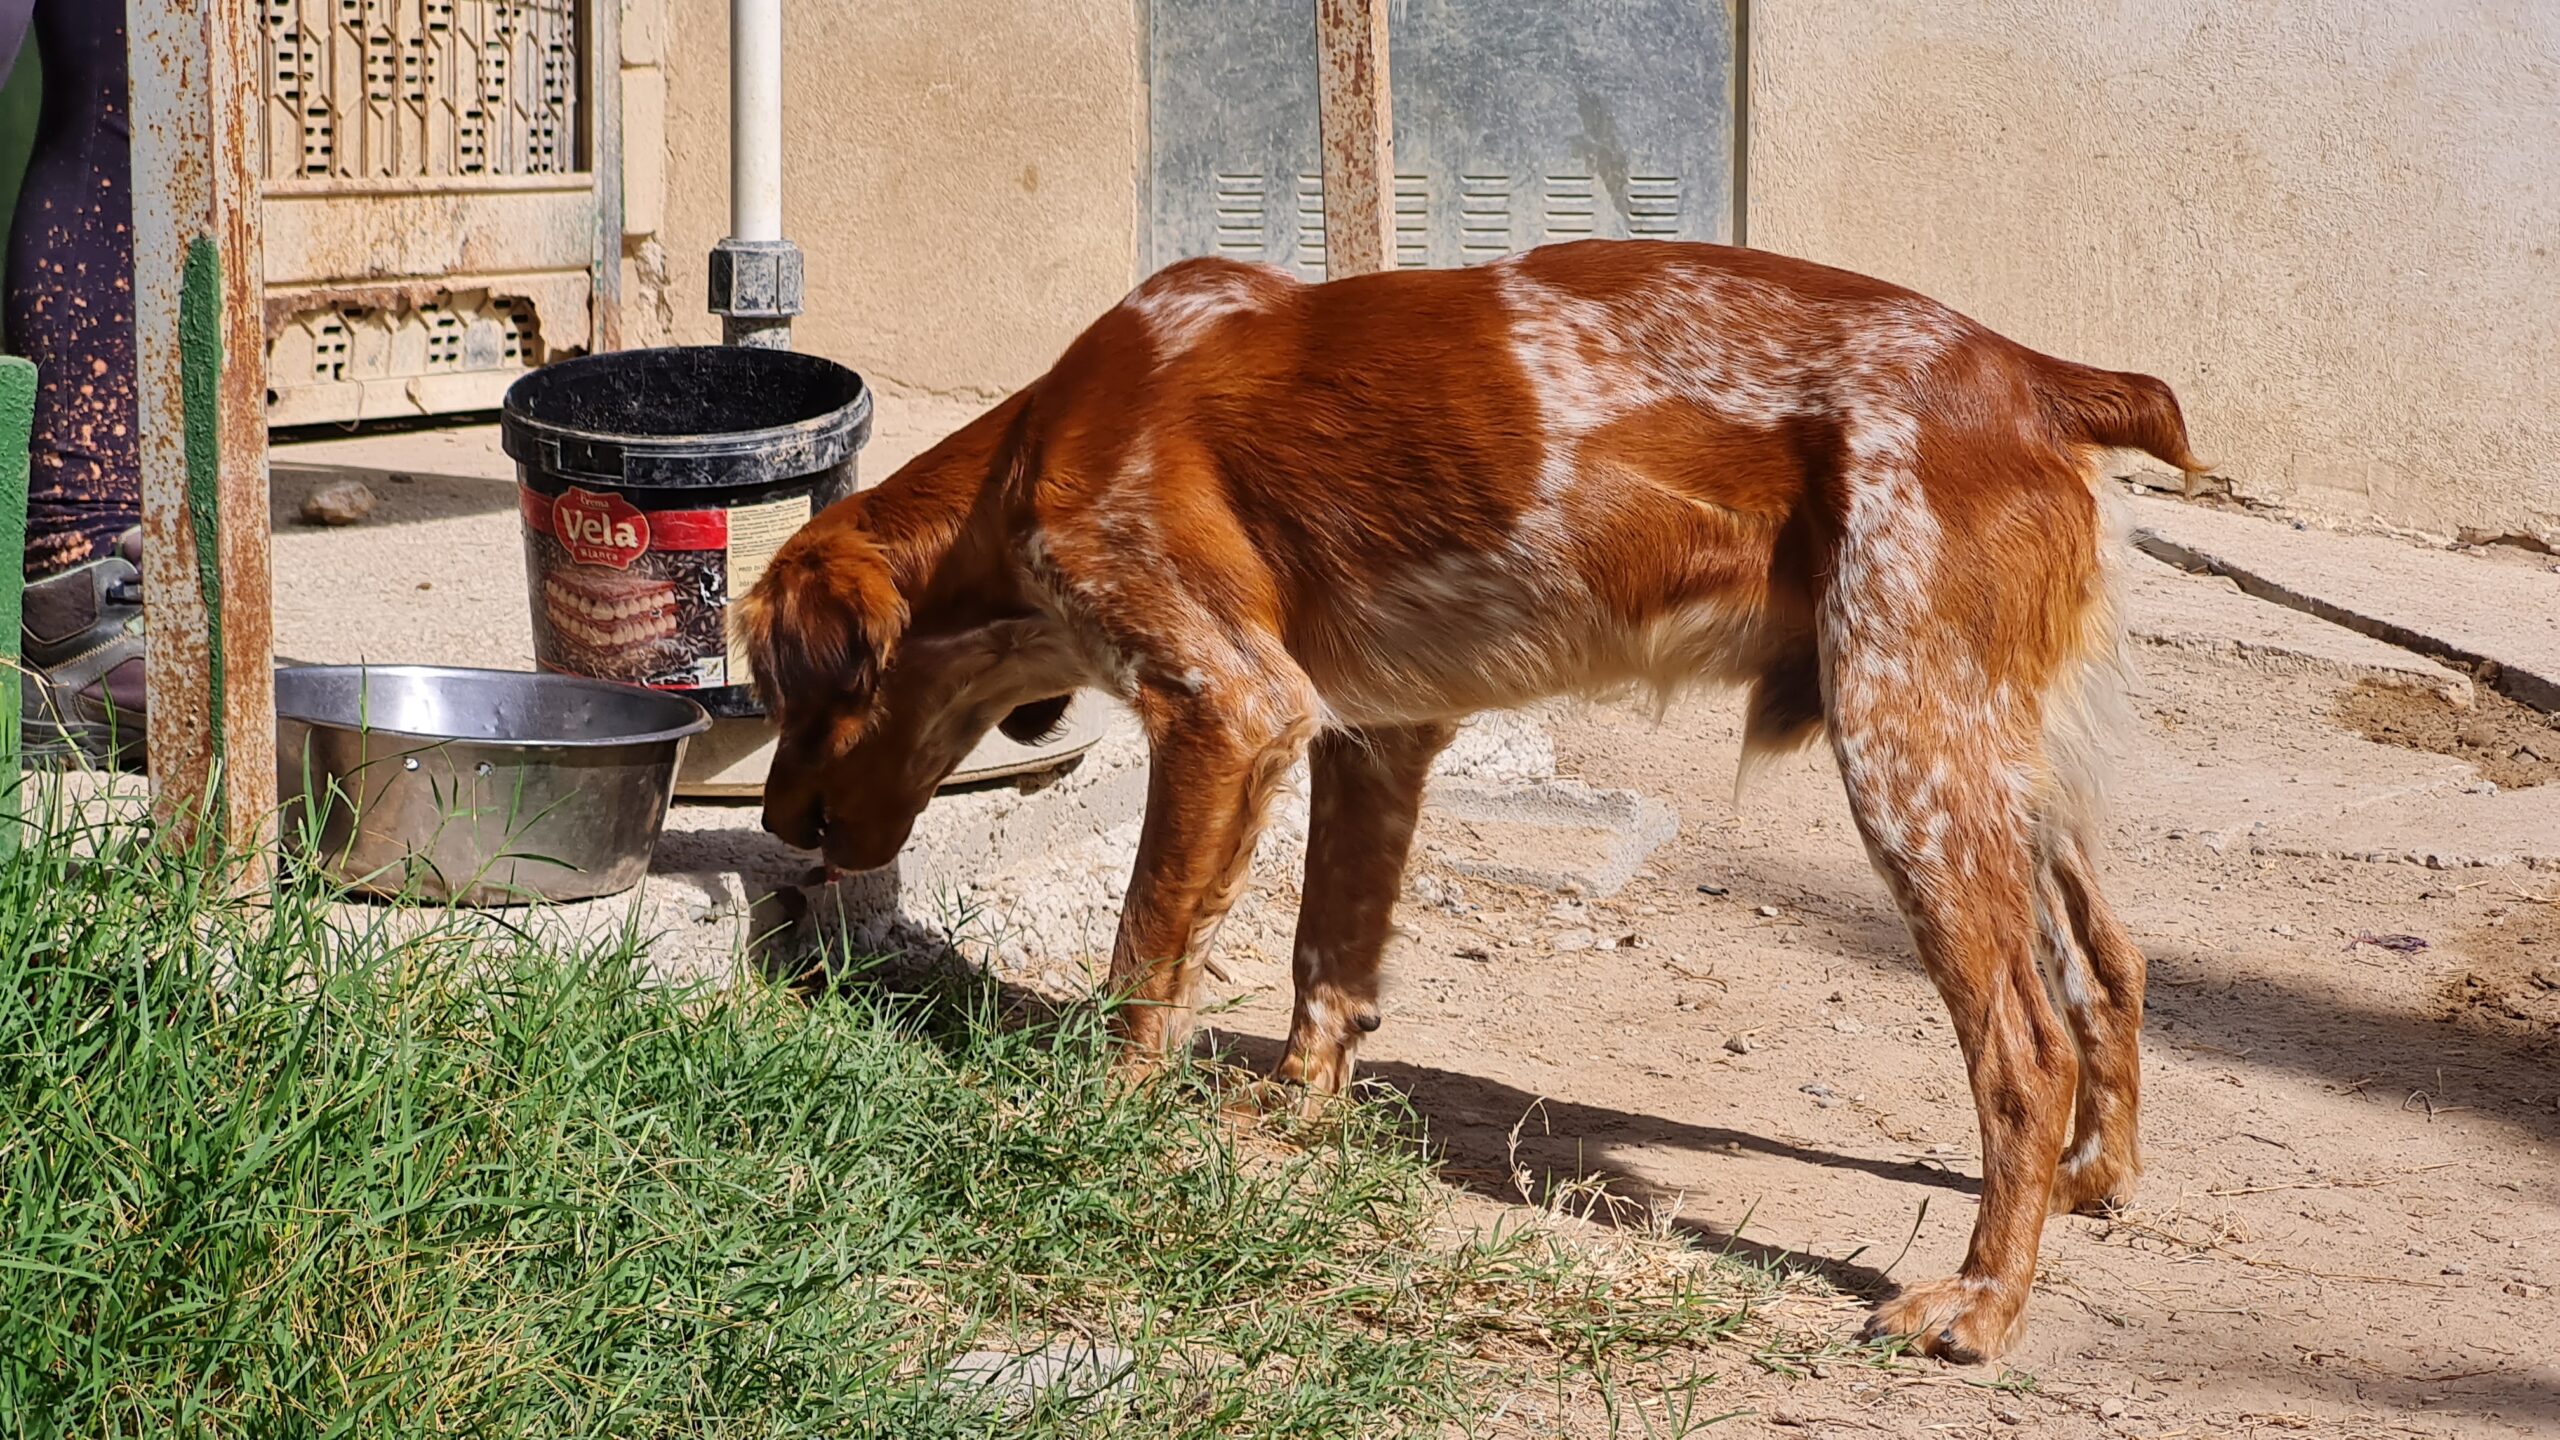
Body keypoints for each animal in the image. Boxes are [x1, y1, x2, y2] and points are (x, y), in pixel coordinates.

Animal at [737, 238, 2201, 1352]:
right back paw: (2095, 1178)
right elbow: (1326, 956)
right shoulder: (1370, 735)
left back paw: (1981, 1303)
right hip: (1999, 762)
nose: (763, 825)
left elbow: (1147, 948)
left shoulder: (1228, 704)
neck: (1028, 459)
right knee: (2113, 969)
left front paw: (1093, 1117)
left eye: (774, 688)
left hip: (1904, 752)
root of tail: (2041, 379)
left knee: (2027, 1045)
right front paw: (1293, 1114)